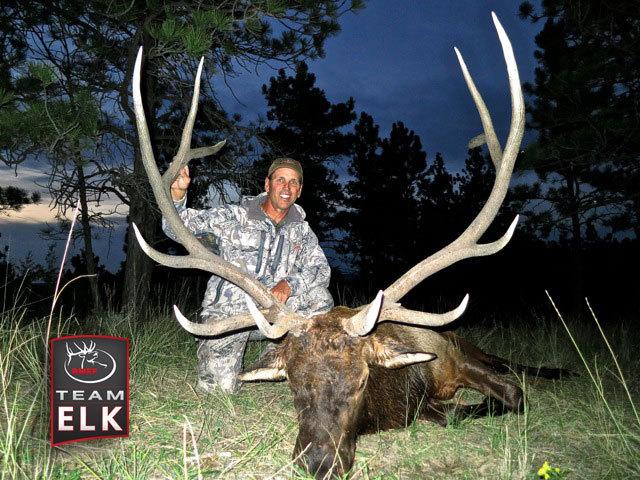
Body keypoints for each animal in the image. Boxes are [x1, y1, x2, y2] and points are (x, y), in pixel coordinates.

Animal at [130, 13, 571, 478]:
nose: (318, 460)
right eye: (293, 382)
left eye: (361, 380)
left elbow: (511, 394)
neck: (400, 395)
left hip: (459, 340)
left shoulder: (450, 360)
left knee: (508, 364)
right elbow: (445, 413)